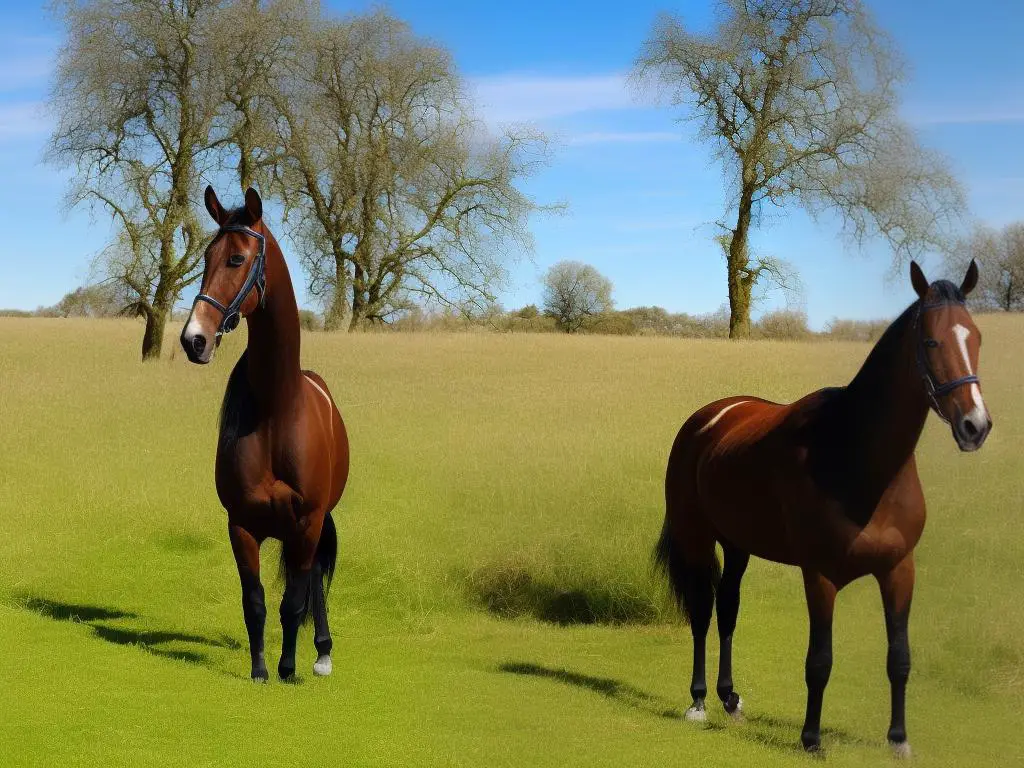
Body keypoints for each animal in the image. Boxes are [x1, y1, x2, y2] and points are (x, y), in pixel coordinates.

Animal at [178, 189, 350, 684]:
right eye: (205, 256)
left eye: (237, 258)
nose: (194, 340)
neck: (277, 409)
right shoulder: (242, 525)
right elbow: (254, 603)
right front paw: (259, 671)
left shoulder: (307, 522)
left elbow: (293, 603)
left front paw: (288, 668)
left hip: (312, 525)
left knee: (313, 578)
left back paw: (322, 653)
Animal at [659, 260, 987, 757]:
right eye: (931, 341)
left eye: (977, 337)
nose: (975, 426)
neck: (852, 454)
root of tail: (708, 418)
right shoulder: (820, 575)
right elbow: (820, 661)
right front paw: (811, 738)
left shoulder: (899, 570)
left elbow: (899, 658)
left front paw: (898, 740)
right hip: (697, 538)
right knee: (701, 611)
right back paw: (697, 702)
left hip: (737, 544)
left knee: (728, 607)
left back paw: (729, 699)